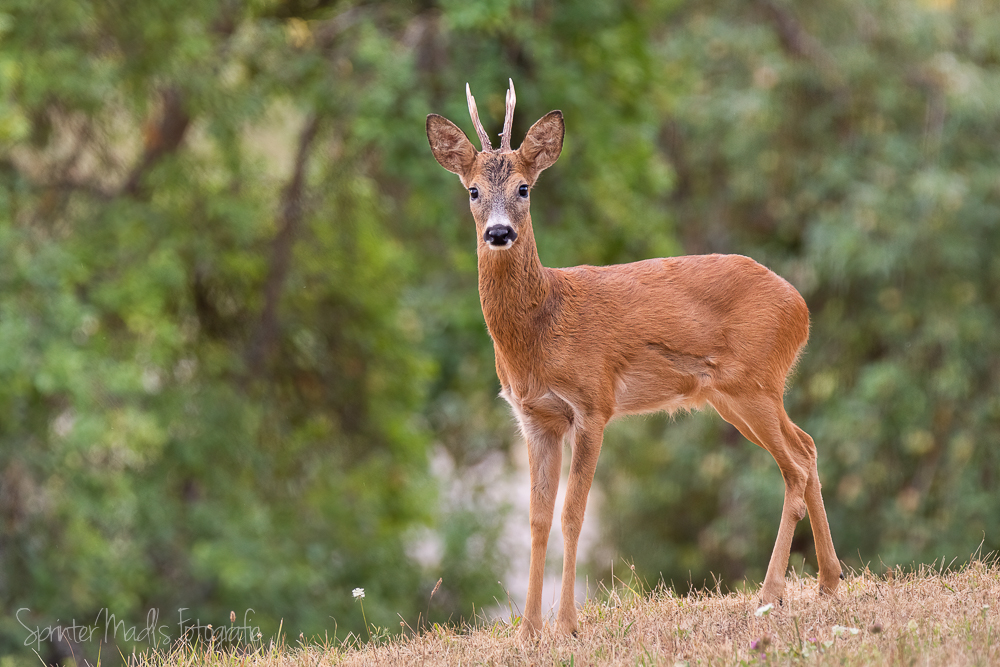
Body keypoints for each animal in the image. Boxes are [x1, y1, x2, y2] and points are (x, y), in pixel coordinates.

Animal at [426, 81, 840, 640]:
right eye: (472, 191)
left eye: (524, 188)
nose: (498, 233)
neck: (541, 326)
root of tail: (801, 307)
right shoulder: (534, 418)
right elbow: (536, 518)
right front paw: (529, 630)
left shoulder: (593, 402)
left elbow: (572, 514)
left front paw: (566, 625)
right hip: (738, 396)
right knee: (809, 446)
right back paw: (828, 581)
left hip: (752, 383)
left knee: (794, 466)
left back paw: (770, 594)